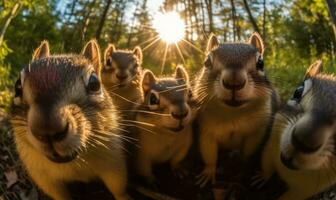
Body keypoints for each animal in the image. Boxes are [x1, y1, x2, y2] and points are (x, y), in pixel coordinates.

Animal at [9, 40, 129, 200]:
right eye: (17, 86)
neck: (73, 163)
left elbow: (118, 188)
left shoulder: (113, 161)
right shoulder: (43, 176)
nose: (47, 130)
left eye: (94, 83)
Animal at [193, 32, 280, 187]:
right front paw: (208, 173)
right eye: (207, 62)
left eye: (261, 63)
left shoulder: (256, 132)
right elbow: (209, 153)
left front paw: (244, 168)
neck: (233, 114)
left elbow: (249, 152)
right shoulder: (206, 131)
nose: (234, 82)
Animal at [258, 60, 334, 199]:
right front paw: (262, 177)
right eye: (297, 92)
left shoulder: (304, 190)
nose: (303, 139)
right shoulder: (271, 146)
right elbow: (266, 164)